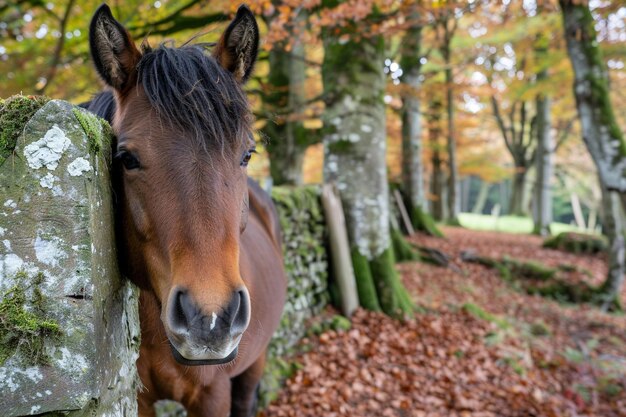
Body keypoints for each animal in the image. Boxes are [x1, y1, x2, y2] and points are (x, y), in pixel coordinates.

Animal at [84, 4, 286, 416]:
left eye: (247, 154)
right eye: (126, 159)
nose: (209, 320)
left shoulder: (213, 395)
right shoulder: (138, 398)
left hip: (255, 363)